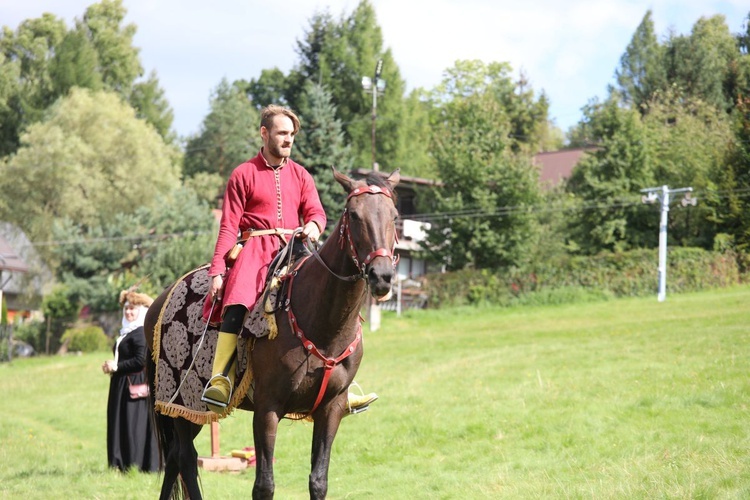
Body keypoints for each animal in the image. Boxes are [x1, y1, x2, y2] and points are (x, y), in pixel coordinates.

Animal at [142, 169, 400, 500]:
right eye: (354, 215)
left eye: (394, 215)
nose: (382, 276)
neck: (322, 323)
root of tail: (159, 301)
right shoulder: (267, 408)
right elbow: (264, 485)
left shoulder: (331, 409)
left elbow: (318, 480)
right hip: (181, 401)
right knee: (185, 456)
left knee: (175, 456)